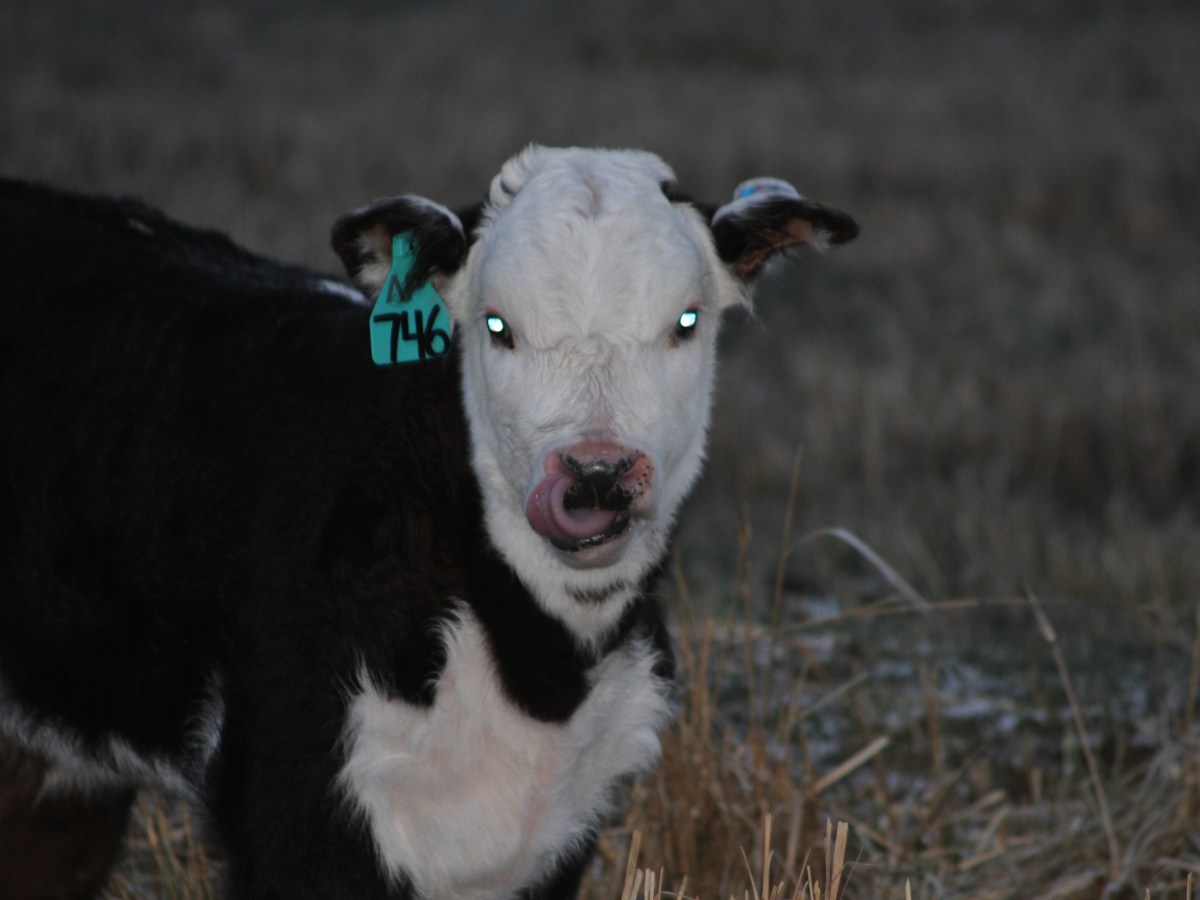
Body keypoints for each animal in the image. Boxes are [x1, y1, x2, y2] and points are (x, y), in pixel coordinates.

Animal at [0, 146, 856, 899]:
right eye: (497, 326)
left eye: (686, 321)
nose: (596, 475)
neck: (539, 678)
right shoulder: (297, 803)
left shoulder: (562, 828)